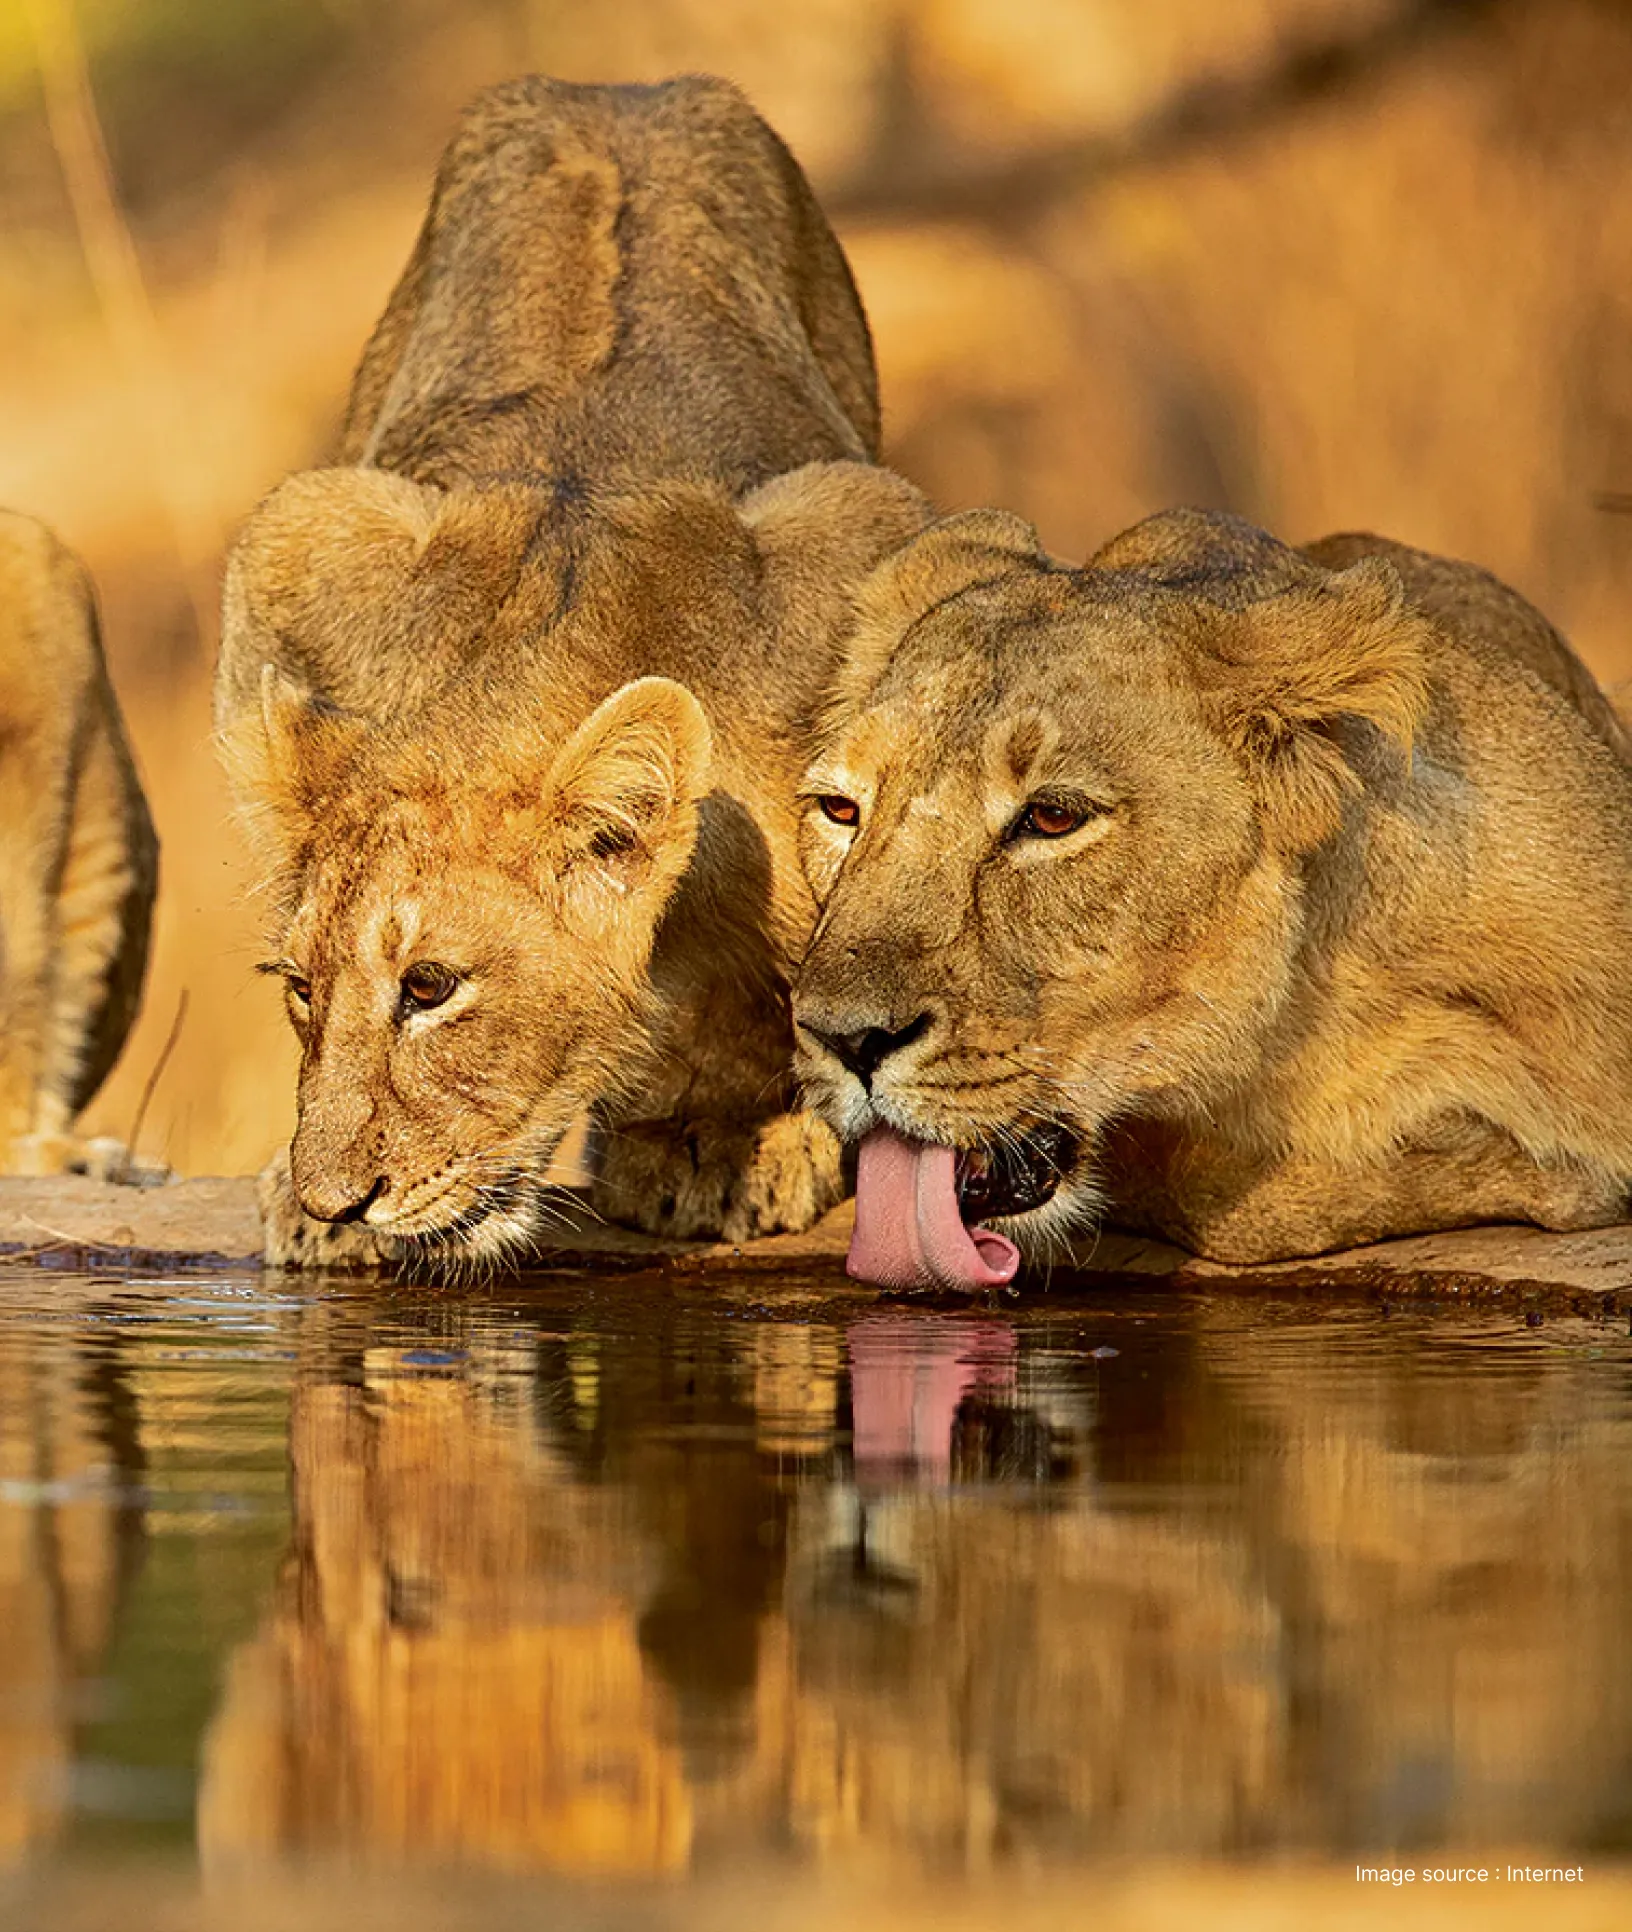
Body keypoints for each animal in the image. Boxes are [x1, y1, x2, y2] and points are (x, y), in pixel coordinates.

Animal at [215, 76, 927, 1268]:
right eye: (302, 990)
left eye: (429, 987)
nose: (331, 1199)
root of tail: (621, 90)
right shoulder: (302, 536)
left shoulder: (853, 538)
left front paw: (737, 1142)